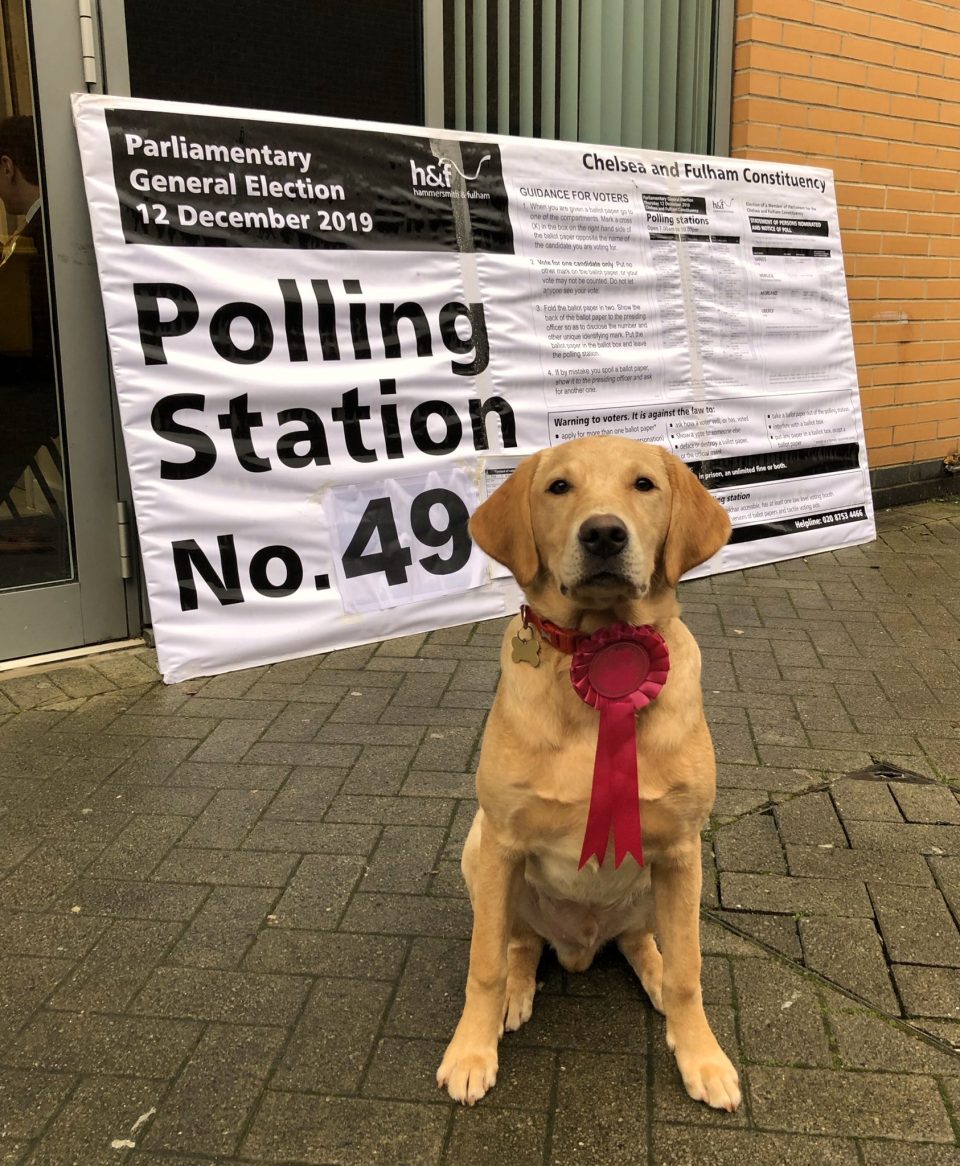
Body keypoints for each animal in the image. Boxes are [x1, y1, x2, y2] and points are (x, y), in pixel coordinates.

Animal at [436, 436, 741, 1110]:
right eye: (559, 487)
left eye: (645, 484)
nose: (603, 534)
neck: (599, 647)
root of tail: (579, 946)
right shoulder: (502, 842)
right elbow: (484, 964)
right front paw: (470, 1052)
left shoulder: (681, 848)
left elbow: (691, 971)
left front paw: (703, 1056)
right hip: (479, 851)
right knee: (520, 943)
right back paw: (517, 991)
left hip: (662, 885)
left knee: (642, 944)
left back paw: (654, 976)